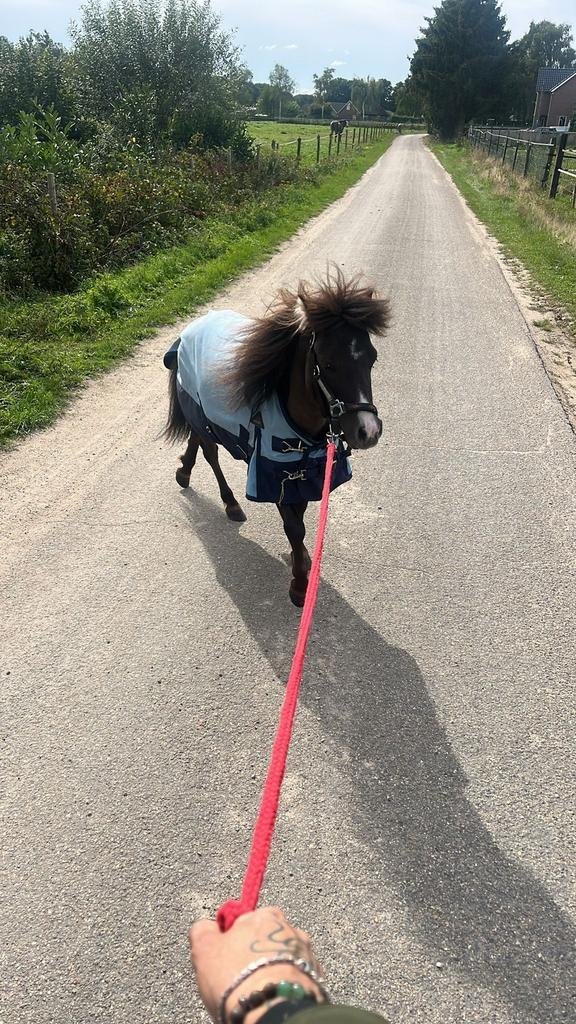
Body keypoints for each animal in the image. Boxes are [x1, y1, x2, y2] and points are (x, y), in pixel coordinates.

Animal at [163, 273, 390, 605]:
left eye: (372, 359)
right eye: (329, 363)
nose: (368, 431)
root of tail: (186, 334)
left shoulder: (305, 472)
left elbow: (301, 517)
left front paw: (303, 559)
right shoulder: (271, 474)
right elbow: (294, 527)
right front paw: (299, 583)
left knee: (196, 438)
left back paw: (184, 471)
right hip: (202, 415)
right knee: (211, 453)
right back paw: (230, 503)